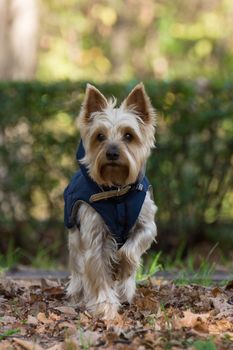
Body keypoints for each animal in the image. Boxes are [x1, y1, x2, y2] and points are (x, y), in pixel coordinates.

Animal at [64, 82, 157, 320]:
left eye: (129, 135)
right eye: (100, 136)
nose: (113, 152)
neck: (117, 193)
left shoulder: (146, 224)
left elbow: (130, 250)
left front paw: (122, 267)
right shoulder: (94, 234)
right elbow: (97, 272)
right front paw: (105, 306)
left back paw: (125, 288)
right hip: (75, 240)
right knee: (78, 268)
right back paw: (78, 292)